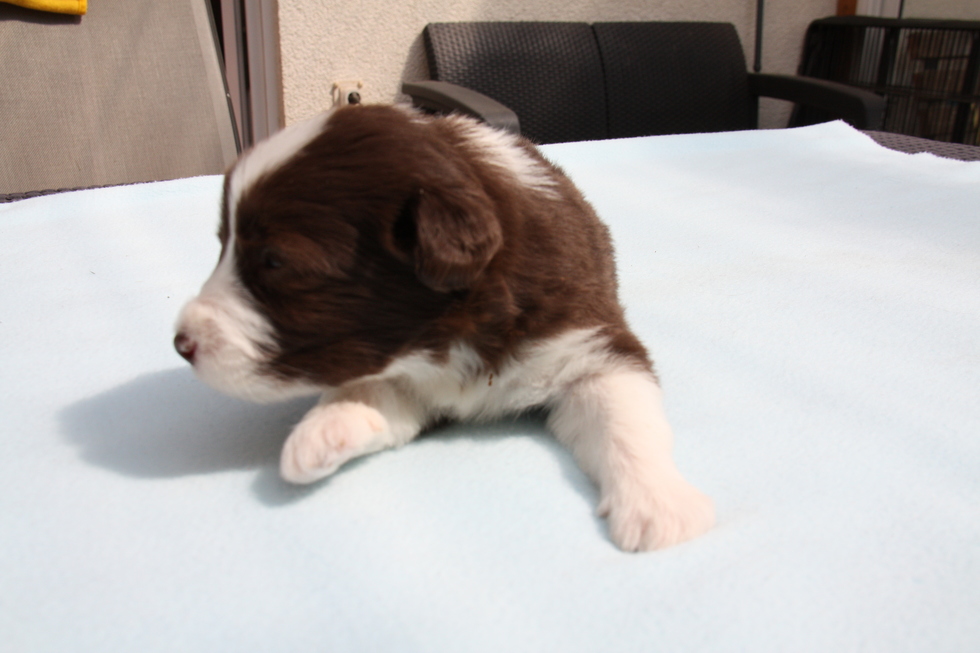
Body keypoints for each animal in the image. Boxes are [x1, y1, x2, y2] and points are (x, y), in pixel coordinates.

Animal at [173, 104, 714, 551]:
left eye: (274, 261)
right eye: (223, 245)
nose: (180, 343)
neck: (447, 336)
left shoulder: (591, 344)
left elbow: (625, 420)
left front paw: (660, 508)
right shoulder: (410, 377)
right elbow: (373, 394)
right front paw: (322, 432)